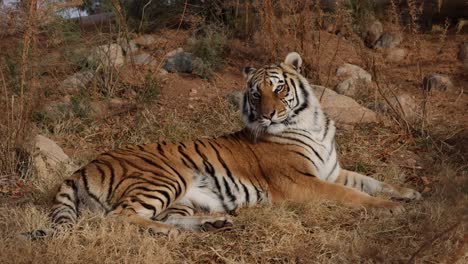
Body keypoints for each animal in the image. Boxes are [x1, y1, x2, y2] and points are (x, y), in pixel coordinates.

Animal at [22, 52, 422, 240]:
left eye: (279, 88)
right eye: (255, 93)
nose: (268, 115)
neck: (311, 122)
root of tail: (82, 167)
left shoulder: (333, 171)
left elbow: (371, 181)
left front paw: (410, 194)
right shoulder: (301, 182)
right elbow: (354, 196)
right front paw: (390, 209)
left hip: (185, 199)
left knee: (161, 217)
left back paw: (216, 222)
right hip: (163, 180)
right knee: (120, 218)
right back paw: (177, 232)